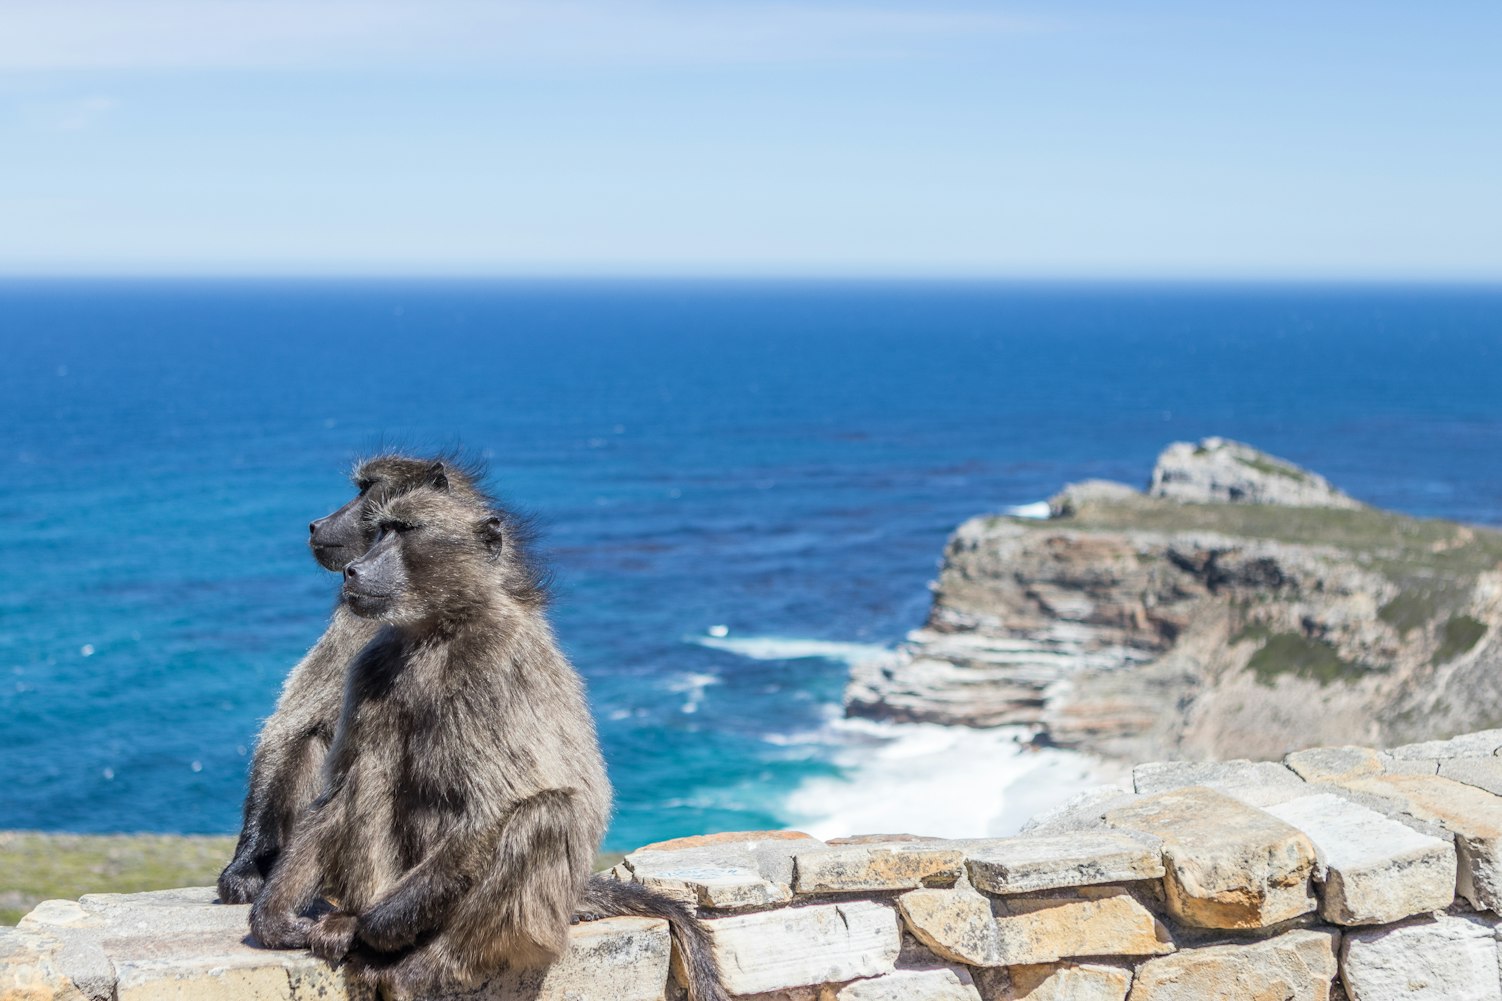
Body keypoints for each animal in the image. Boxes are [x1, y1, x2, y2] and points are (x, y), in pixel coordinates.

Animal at [247, 486, 728, 1001]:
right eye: (380, 530)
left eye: (405, 530)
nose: (354, 570)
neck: (437, 632)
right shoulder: (370, 664)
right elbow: (335, 793)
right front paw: (274, 916)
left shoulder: (491, 666)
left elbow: (494, 807)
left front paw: (370, 927)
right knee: (367, 774)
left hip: (537, 917)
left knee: (546, 815)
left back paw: (415, 966)